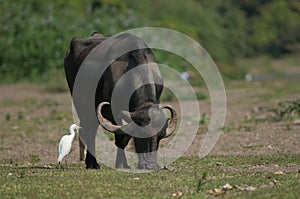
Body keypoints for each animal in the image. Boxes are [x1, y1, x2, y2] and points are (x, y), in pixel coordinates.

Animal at [62, 32, 177, 169]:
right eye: (141, 134)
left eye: (160, 136)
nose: (151, 165)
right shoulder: (113, 111)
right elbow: (121, 137)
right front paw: (122, 164)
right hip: (81, 104)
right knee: (90, 131)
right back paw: (92, 163)